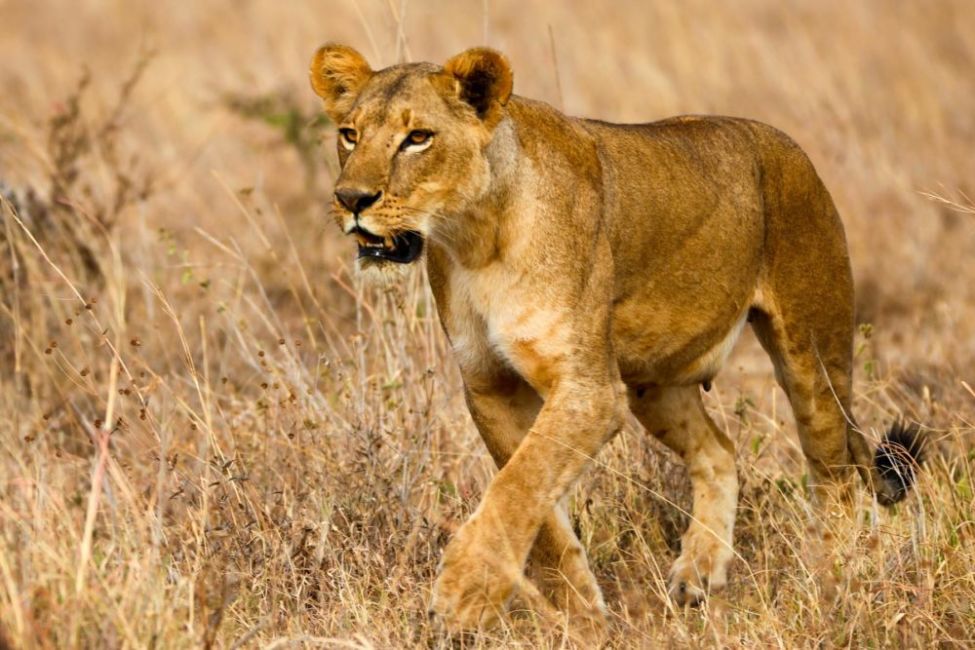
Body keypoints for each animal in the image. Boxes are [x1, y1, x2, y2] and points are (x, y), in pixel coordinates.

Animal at [308, 43, 923, 631]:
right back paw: (699, 572)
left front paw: (464, 593)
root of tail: (788, 146)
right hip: (654, 383)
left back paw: (836, 581)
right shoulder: (489, 386)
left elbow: (518, 485)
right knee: (720, 452)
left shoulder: (590, 390)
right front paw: (582, 613)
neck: (475, 239)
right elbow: (538, 507)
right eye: (349, 134)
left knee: (837, 478)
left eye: (418, 138)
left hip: (813, 359)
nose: (351, 199)